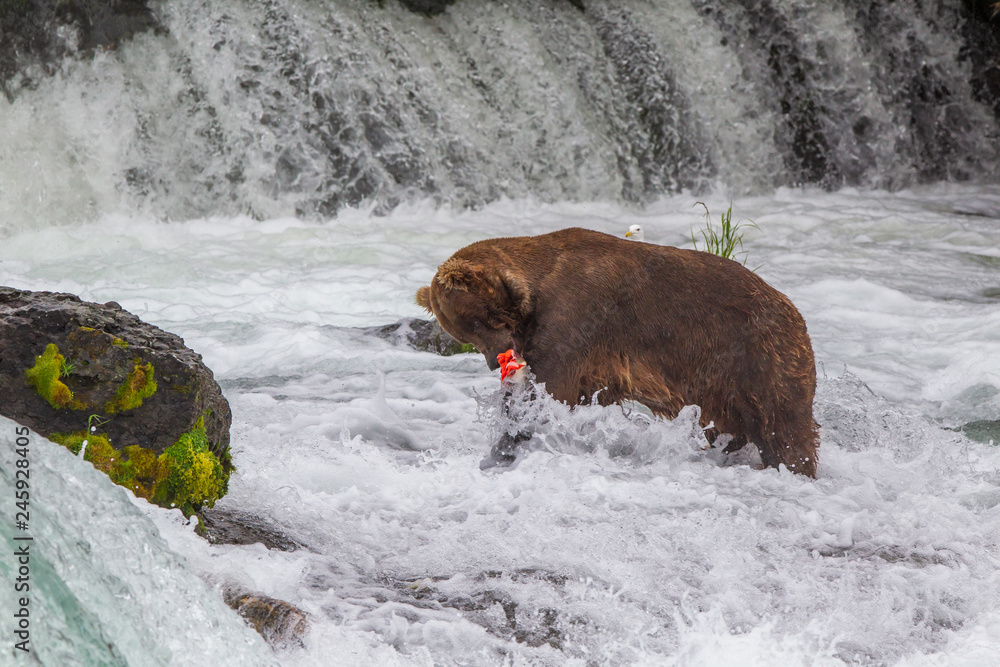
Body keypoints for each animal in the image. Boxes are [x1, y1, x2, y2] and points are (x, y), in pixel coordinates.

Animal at [416, 227, 819, 477]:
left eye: (478, 321)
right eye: (466, 335)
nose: (495, 359)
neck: (534, 295)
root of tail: (795, 312)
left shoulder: (573, 319)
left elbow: (547, 395)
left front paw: (501, 448)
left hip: (757, 357)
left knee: (785, 430)